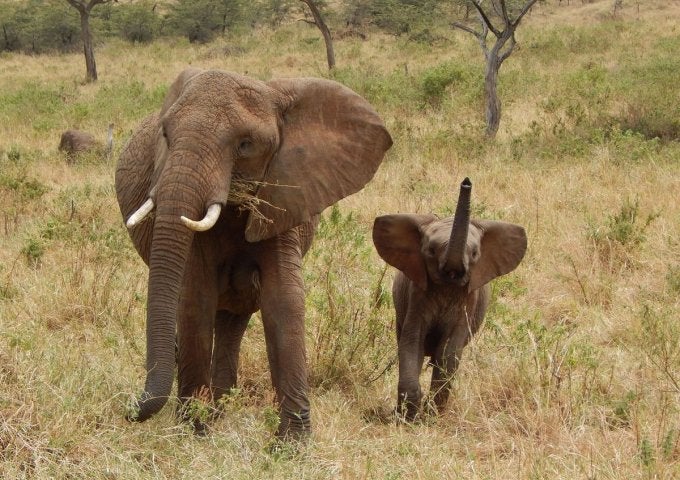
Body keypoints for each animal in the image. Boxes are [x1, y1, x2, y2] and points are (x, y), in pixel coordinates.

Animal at [115, 68, 392, 439]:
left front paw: (292, 442)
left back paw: (220, 410)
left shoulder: (285, 198)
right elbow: (195, 298)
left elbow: (284, 298)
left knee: (234, 317)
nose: (128, 407)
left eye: (245, 145)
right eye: (166, 135)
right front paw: (194, 430)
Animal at [372, 178, 527, 420]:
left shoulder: (468, 299)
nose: (467, 182)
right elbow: (412, 342)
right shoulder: (417, 292)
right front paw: (408, 417)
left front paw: (431, 415)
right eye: (431, 251)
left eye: (474, 254)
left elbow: (449, 350)